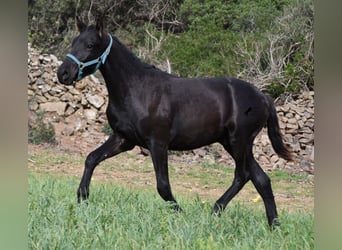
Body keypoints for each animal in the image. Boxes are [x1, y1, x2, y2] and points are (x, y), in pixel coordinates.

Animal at [57, 17, 292, 228]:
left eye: (90, 44)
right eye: (74, 42)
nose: (63, 73)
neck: (137, 88)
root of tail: (263, 97)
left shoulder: (158, 143)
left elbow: (163, 186)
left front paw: (181, 214)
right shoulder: (123, 139)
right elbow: (91, 158)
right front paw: (82, 198)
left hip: (239, 142)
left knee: (243, 175)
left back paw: (216, 210)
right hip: (233, 143)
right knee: (261, 180)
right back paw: (274, 226)